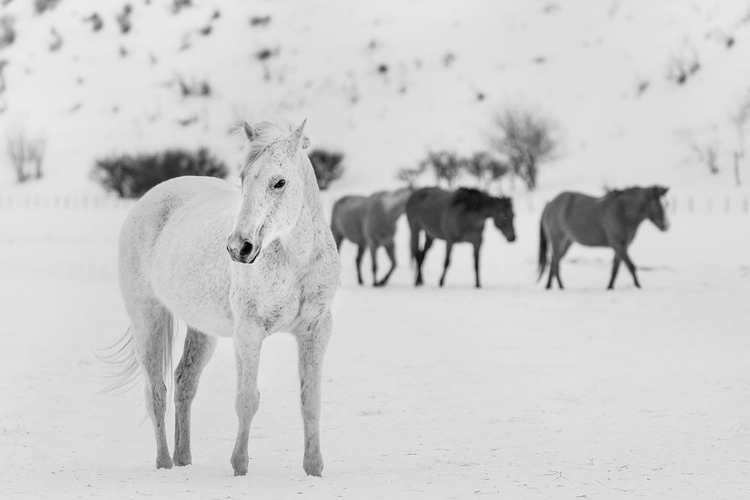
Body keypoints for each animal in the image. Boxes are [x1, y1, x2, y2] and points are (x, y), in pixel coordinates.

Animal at [111, 118, 340, 476]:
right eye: (243, 177)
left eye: (280, 182)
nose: (238, 248)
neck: (295, 262)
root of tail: (151, 197)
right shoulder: (248, 333)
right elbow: (247, 399)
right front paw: (240, 467)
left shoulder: (316, 331)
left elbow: (310, 401)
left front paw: (314, 469)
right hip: (147, 318)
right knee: (156, 393)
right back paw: (164, 463)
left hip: (201, 330)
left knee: (185, 382)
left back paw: (184, 459)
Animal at [540, 186, 668, 290]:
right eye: (657, 204)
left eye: (667, 204)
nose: (666, 226)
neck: (623, 211)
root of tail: (550, 203)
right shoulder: (618, 244)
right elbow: (631, 266)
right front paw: (638, 286)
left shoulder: (622, 246)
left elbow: (615, 268)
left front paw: (610, 287)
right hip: (557, 240)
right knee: (555, 262)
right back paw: (558, 286)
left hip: (567, 242)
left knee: (554, 261)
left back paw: (551, 286)